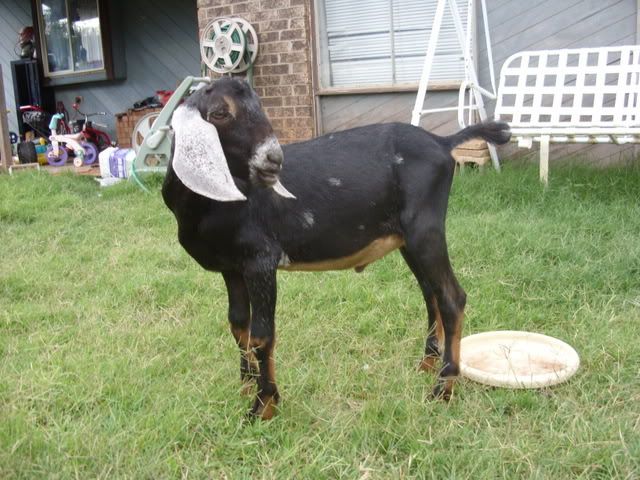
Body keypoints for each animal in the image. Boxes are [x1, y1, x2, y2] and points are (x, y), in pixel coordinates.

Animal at [162, 77, 511, 419]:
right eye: (220, 112)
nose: (273, 159)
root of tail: (442, 142)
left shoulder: (260, 260)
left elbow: (262, 334)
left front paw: (264, 406)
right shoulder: (232, 267)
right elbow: (238, 325)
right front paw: (245, 388)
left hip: (425, 230)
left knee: (452, 297)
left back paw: (442, 389)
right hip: (408, 240)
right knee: (432, 294)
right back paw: (426, 366)